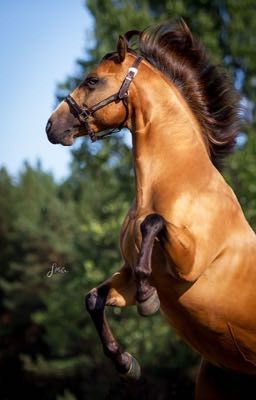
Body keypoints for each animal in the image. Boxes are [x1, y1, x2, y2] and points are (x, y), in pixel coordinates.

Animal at [45, 21, 256, 396]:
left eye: (92, 81)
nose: (51, 127)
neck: (176, 181)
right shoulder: (128, 276)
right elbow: (93, 299)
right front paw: (126, 364)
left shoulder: (190, 264)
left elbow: (153, 223)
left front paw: (147, 299)